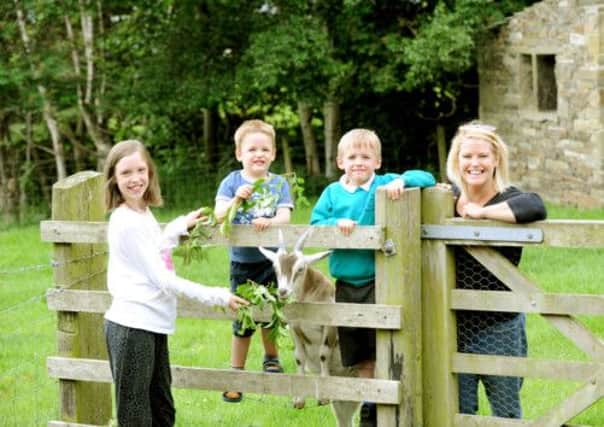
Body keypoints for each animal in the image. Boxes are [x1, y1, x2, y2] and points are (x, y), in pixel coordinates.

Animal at [258, 231, 358, 427]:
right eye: (276, 268)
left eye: (300, 268)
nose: (283, 292)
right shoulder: (294, 328)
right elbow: (299, 357)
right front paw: (299, 399)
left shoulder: (330, 325)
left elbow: (323, 354)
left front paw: (323, 396)